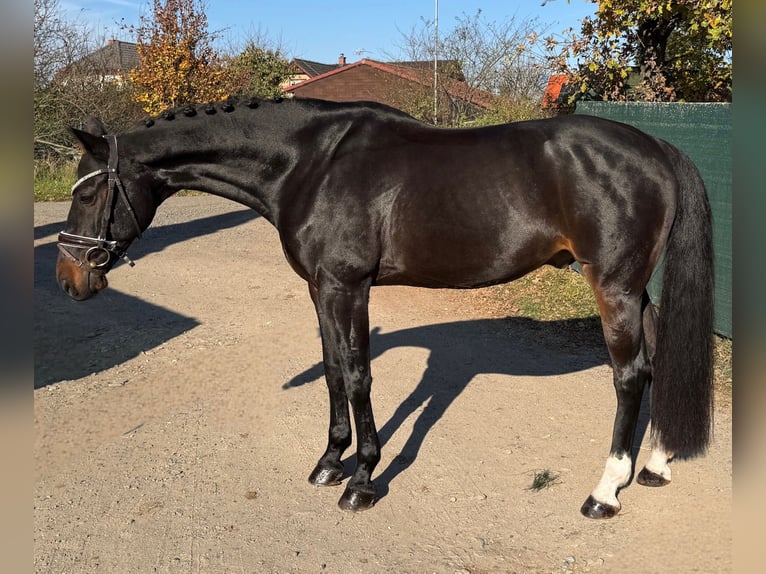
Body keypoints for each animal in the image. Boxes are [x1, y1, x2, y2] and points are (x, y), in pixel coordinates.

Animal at [55, 97, 712, 520]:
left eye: (88, 191)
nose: (69, 279)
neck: (309, 162)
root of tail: (656, 145)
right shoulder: (321, 289)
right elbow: (331, 371)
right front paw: (329, 461)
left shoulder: (348, 286)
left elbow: (357, 374)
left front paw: (362, 480)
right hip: (635, 291)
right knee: (658, 361)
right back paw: (654, 465)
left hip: (614, 286)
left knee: (629, 376)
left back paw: (605, 492)